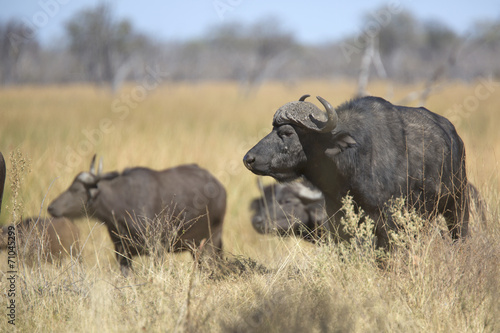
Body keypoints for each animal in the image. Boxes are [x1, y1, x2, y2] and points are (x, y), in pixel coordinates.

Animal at [47, 156, 227, 274]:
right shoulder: (122, 253)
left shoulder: (157, 250)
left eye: (76, 189)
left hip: (212, 240)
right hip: (196, 247)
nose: (51, 207)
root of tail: (219, 187)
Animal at [244, 94, 470, 246]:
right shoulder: (336, 220)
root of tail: (455, 138)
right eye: (273, 128)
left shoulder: (390, 220)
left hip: (458, 204)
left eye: (287, 132)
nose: (248, 159)